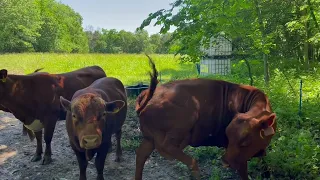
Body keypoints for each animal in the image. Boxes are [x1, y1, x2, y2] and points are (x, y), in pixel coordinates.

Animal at [134, 55, 276, 179]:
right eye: (228, 136)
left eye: (246, 142)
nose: (225, 162)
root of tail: (148, 94)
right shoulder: (238, 157)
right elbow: (244, 172)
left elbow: (264, 164)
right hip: (186, 119)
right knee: (167, 146)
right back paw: (194, 166)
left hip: (149, 138)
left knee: (141, 154)